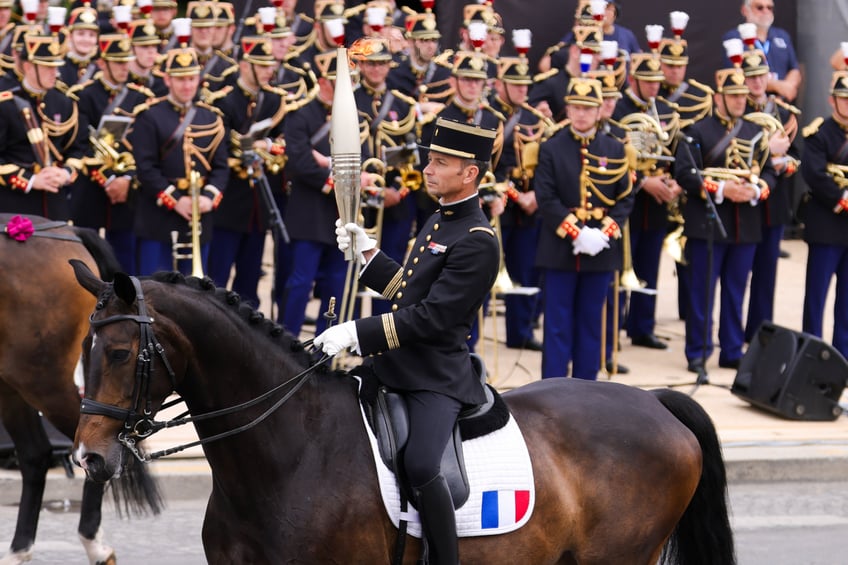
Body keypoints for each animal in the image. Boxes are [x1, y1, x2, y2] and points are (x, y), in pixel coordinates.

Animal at [0, 214, 161, 560]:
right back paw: (20, 550)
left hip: (41, 377)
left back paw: (93, 543)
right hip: (12, 382)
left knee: (87, 445)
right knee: (36, 453)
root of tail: (68, 230)